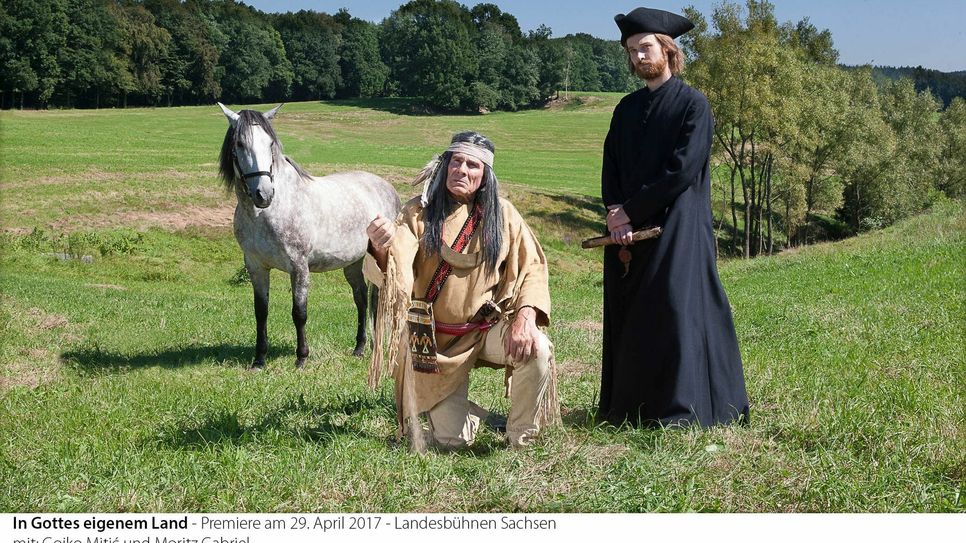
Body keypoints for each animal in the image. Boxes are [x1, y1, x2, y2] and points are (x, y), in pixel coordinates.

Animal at [219, 103, 400, 370]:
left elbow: (299, 312)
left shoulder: (299, 267)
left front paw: (301, 358)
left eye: (270, 144)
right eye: (240, 144)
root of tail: (387, 188)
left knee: (377, 302)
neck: (267, 213)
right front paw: (259, 360)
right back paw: (359, 348)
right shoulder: (256, 267)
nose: (264, 193)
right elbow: (261, 312)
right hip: (353, 263)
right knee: (361, 299)